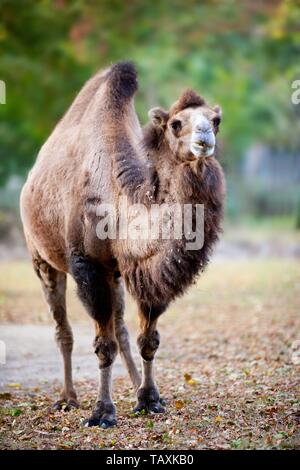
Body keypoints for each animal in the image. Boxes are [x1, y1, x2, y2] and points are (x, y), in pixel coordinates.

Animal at [19, 63, 225, 430]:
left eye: (215, 120)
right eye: (176, 123)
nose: (204, 138)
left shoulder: (144, 269)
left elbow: (148, 339)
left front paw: (150, 399)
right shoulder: (86, 265)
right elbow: (104, 345)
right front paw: (102, 412)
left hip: (114, 273)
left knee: (122, 329)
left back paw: (134, 385)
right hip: (41, 257)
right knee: (63, 328)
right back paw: (68, 398)